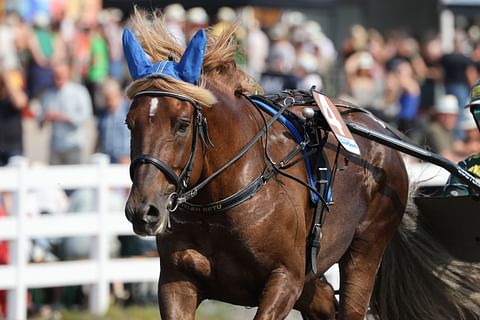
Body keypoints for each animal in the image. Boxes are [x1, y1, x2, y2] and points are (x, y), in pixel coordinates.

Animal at [124, 10, 408, 320]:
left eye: (182, 124)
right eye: (129, 123)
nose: (143, 210)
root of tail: (379, 127)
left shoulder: (286, 279)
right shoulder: (176, 280)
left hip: (366, 249)